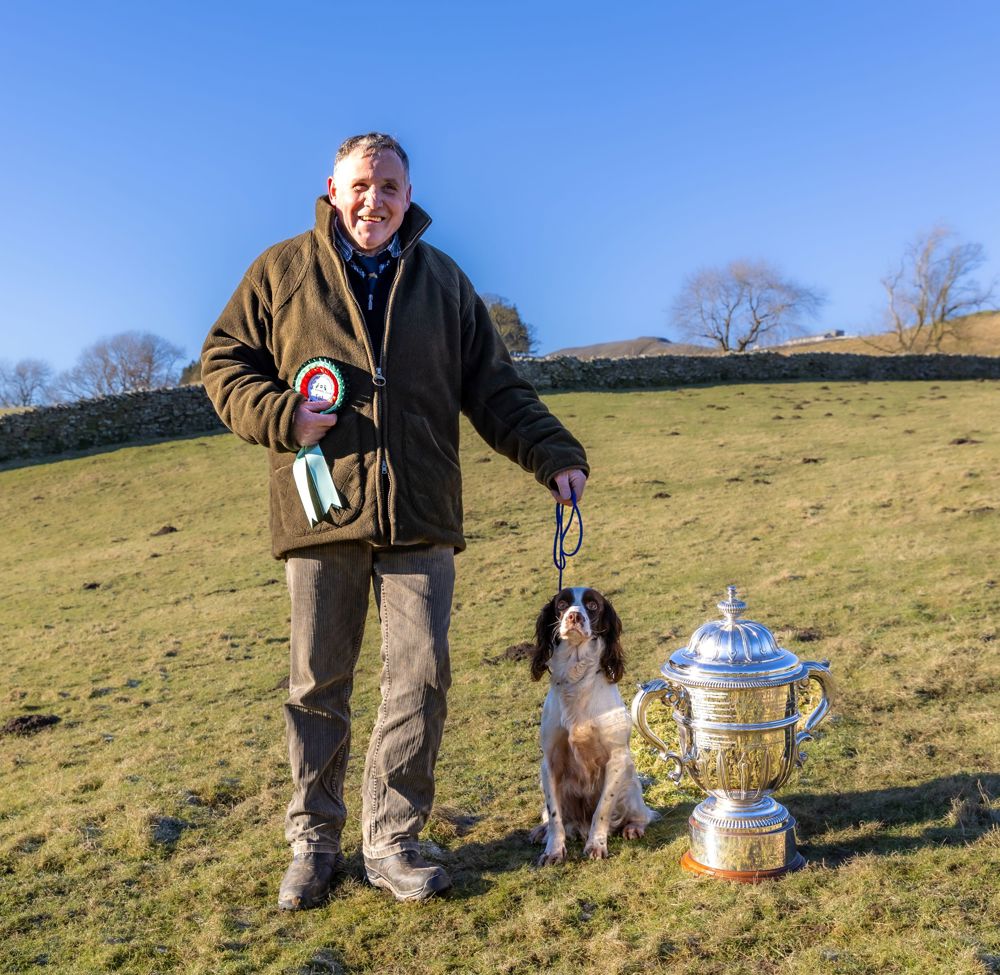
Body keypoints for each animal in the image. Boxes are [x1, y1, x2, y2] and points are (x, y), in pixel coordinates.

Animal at [532, 592, 656, 864]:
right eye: (561, 603)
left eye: (592, 605)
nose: (574, 616)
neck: (576, 681)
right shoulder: (550, 763)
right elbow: (555, 816)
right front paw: (553, 850)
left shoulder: (618, 758)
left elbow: (603, 808)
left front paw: (596, 846)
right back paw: (542, 831)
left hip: (630, 784)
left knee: (643, 814)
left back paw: (633, 828)